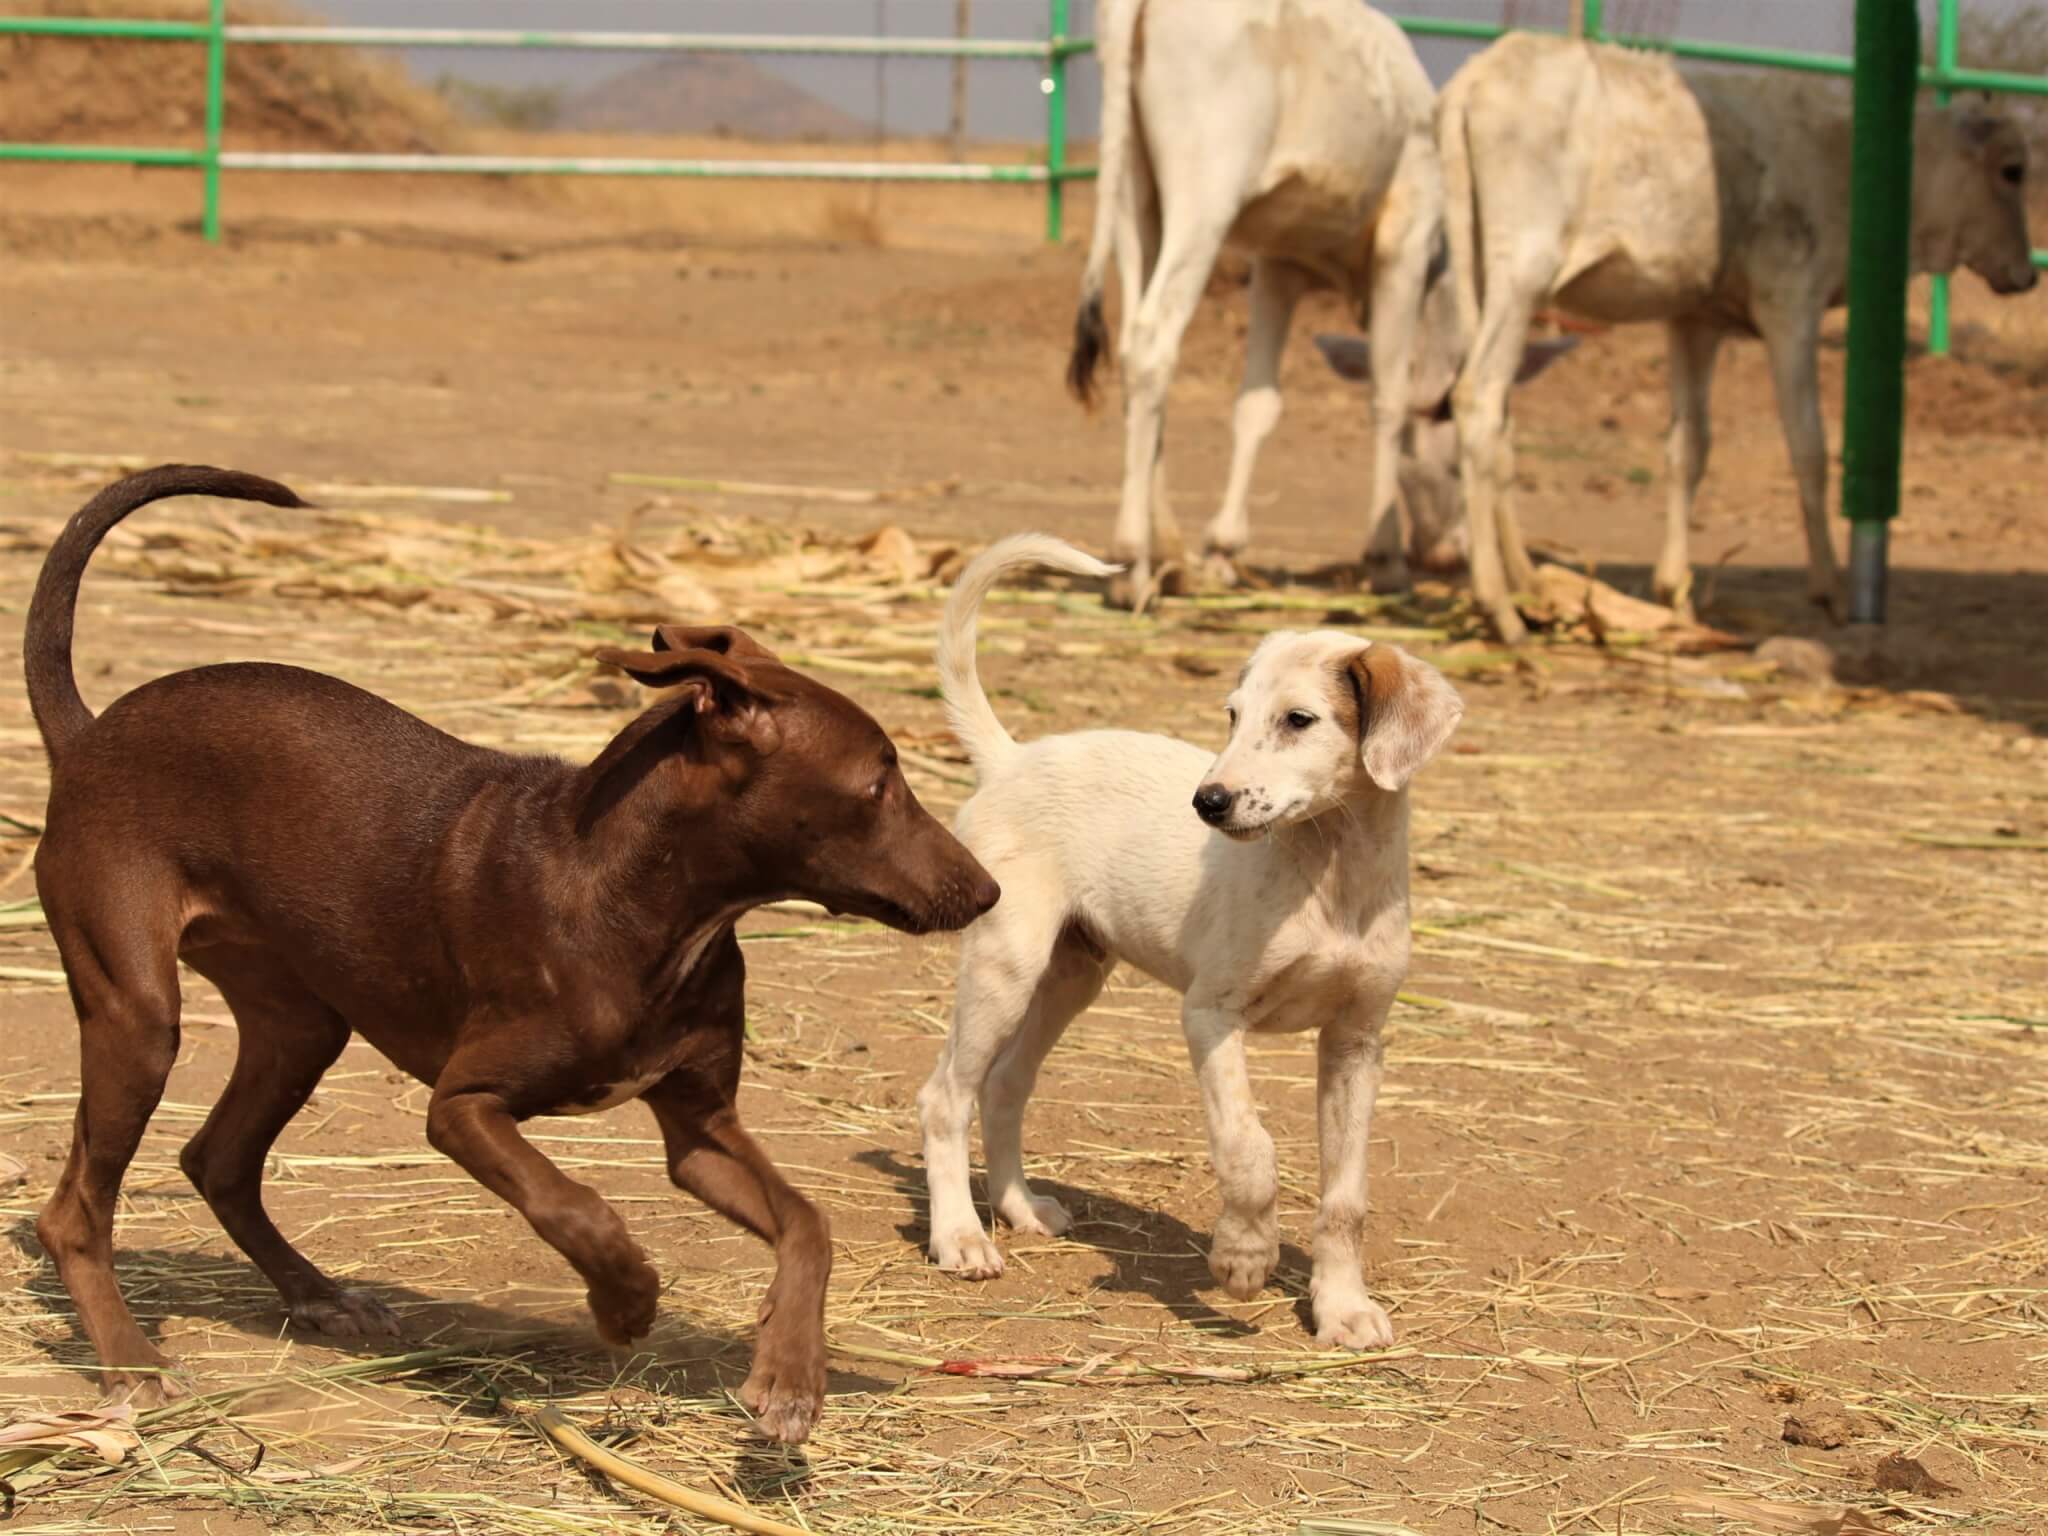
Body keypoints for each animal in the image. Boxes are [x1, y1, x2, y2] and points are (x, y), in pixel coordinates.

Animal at [22, 466, 999, 1441]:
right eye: (878, 785)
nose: (986, 890)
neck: (645, 903)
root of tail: (89, 734)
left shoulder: (700, 1132)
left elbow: (807, 1223)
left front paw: (791, 1375)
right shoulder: (463, 1106)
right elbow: (576, 1204)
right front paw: (625, 1300)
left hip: (298, 1024)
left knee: (217, 1159)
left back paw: (319, 1295)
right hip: (139, 1014)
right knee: (73, 1211)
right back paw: (131, 1362)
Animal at [921, 536, 1466, 1343]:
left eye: (1299, 720)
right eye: (1233, 717)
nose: (1207, 802)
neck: (1330, 879)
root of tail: (1012, 757)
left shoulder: (1357, 1042)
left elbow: (1345, 1199)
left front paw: (1341, 1307)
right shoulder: (1210, 1015)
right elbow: (1250, 1147)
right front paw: (1243, 1257)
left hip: (1069, 976)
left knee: (1004, 1084)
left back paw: (1018, 1208)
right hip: (1005, 965)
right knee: (946, 1095)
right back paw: (959, 1236)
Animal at [1073, 0, 1441, 614]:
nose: (1446, 551)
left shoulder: (1276, 266)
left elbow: (1257, 403)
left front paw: (1223, 550)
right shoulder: (1405, 239)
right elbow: (1390, 397)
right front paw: (1388, 560)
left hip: (1132, 192)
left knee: (1131, 353)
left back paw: (1167, 553)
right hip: (1205, 193)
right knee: (1152, 341)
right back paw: (1132, 563)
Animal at [1441, 31, 2031, 643]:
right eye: (2013, 170)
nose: (2027, 274)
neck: (1845, 153)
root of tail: (1480, 73)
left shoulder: (1695, 321)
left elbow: (1688, 448)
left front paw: (1674, 595)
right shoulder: (1791, 307)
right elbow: (1808, 444)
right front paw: (1831, 592)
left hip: (1485, 282)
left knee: (1499, 419)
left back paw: (1527, 581)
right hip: (1523, 276)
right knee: (1479, 398)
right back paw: (1500, 606)